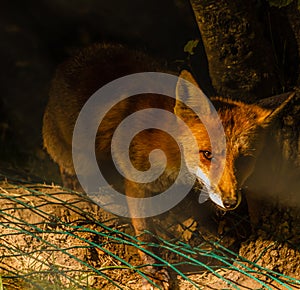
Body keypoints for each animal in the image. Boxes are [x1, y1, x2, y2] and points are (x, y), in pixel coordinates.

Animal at [42, 42, 298, 288]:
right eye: (207, 154)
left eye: (244, 159)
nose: (230, 202)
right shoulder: (136, 183)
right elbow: (146, 233)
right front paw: (154, 270)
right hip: (69, 152)